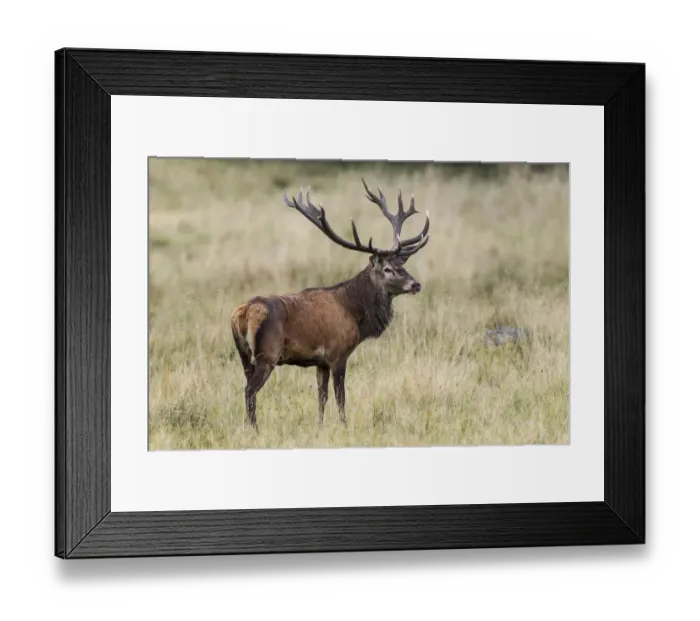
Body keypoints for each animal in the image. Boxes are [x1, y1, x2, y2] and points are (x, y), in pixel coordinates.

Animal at [230, 178, 430, 430]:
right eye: (388, 269)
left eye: (401, 265)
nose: (416, 284)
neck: (354, 312)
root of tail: (244, 313)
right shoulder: (338, 353)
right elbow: (340, 398)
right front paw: (344, 427)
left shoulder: (321, 362)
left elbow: (321, 398)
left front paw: (320, 427)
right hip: (267, 354)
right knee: (250, 390)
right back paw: (254, 429)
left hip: (244, 355)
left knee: (248, 387)